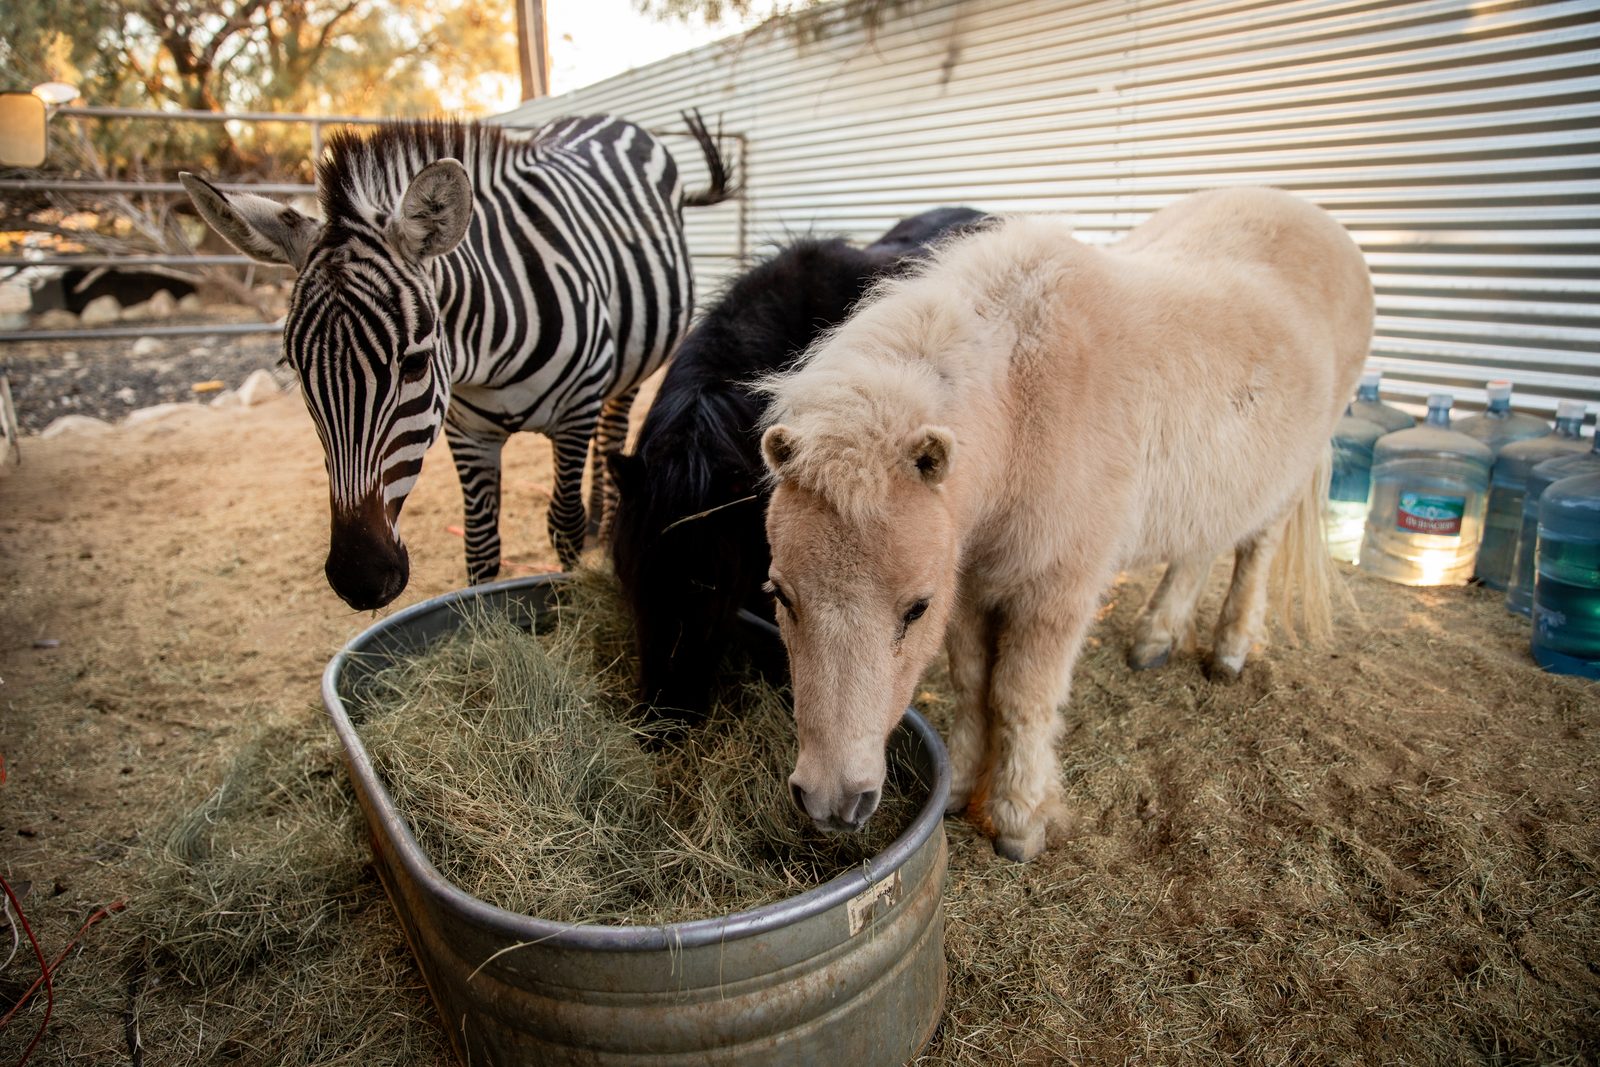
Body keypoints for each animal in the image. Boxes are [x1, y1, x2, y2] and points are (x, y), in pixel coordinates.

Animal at [180, 112, 733, 610]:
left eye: (415, 363)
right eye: (296, 370)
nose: (360, 579)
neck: (486, 359)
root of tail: (608, 120)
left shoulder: (575, 412)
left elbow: (564, 524)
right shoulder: (467, 432)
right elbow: (481, 544)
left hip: (629, 365)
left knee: (612, 428)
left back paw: (608, 513)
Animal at [758, 188, 1374, 861]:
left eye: (916, 609)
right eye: (782, 596)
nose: (832, 801)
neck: (1025, 404)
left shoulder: (1054, 592)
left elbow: (1021, 697)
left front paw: (1020, 819)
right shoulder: (970, 584)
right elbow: (972, 682)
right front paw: (961, 789)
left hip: (1287, 480)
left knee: (1254, 550)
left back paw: (1230, 651)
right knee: (1197, 549)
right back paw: (1155, 638)